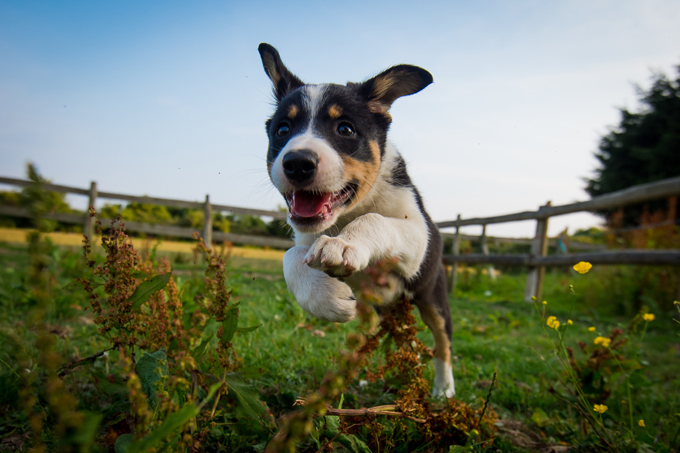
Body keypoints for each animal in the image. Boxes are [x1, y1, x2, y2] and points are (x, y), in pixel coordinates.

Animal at [258, 42, 454, 396]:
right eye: (283, 130)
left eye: (345, 129)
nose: (297, 163)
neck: (349, 212)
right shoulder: (304, 237)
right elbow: (290, 256)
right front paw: (327, 298)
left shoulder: (419, 234)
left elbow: (376, 219)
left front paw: (344, 245)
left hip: (432, 297)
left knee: (442, 342)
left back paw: (444, 389)